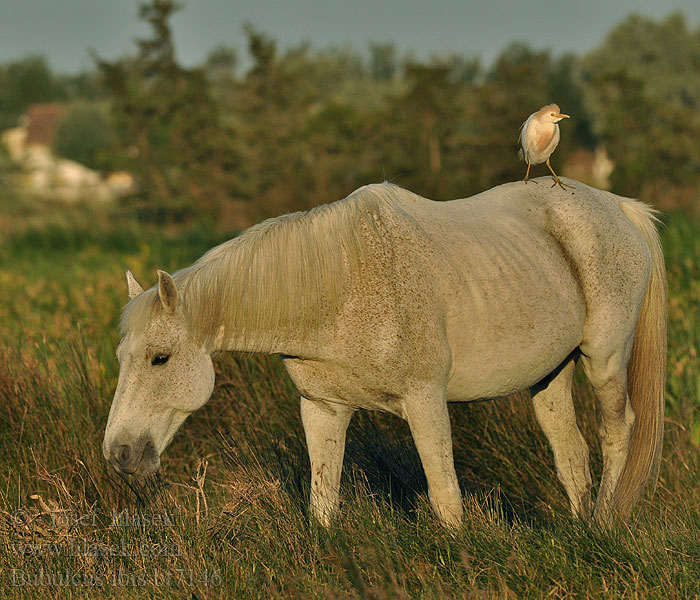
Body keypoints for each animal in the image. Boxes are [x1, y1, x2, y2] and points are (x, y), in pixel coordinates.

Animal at [101, 180, 664, 528]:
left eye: (159, 358)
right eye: (122, 357)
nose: (119, 454)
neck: (342, 284)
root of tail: (617, 207)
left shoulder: (425, 402)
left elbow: (445, 498)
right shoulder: (323, 409)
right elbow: (322, 501)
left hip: (604, 359)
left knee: (617, 433)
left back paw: (605, 525)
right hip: (551, 374)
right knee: (570, 452)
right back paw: (580, 528)